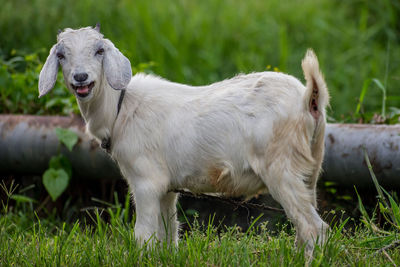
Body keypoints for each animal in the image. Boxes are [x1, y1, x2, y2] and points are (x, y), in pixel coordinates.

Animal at [39, 25, 330, 253]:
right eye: (61, 55)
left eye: (99, 51)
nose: (81, 78)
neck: (120, 109)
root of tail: (309, 98)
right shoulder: (167, 187)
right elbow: (168, 234)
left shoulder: (146, 180)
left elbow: (143, 235)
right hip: (310, 168)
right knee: (305, 225)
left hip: (281, 168)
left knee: (314, 228)